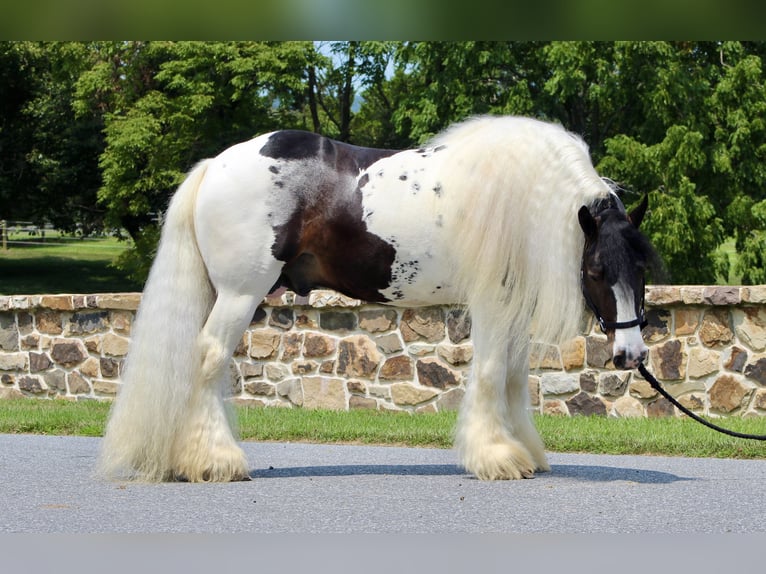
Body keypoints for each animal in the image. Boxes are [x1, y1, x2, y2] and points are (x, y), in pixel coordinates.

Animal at [99, 115, 656, 484]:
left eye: (642, 269)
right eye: (596, 271)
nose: (632, 356)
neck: (525, 199)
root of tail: (216, 165)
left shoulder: (511, 308)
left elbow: (515, 381)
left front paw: (524, 452)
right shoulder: (493, 304)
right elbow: (492, 374)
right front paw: (497, 457)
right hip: (240, 294)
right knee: (209, 359)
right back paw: (216, 461)